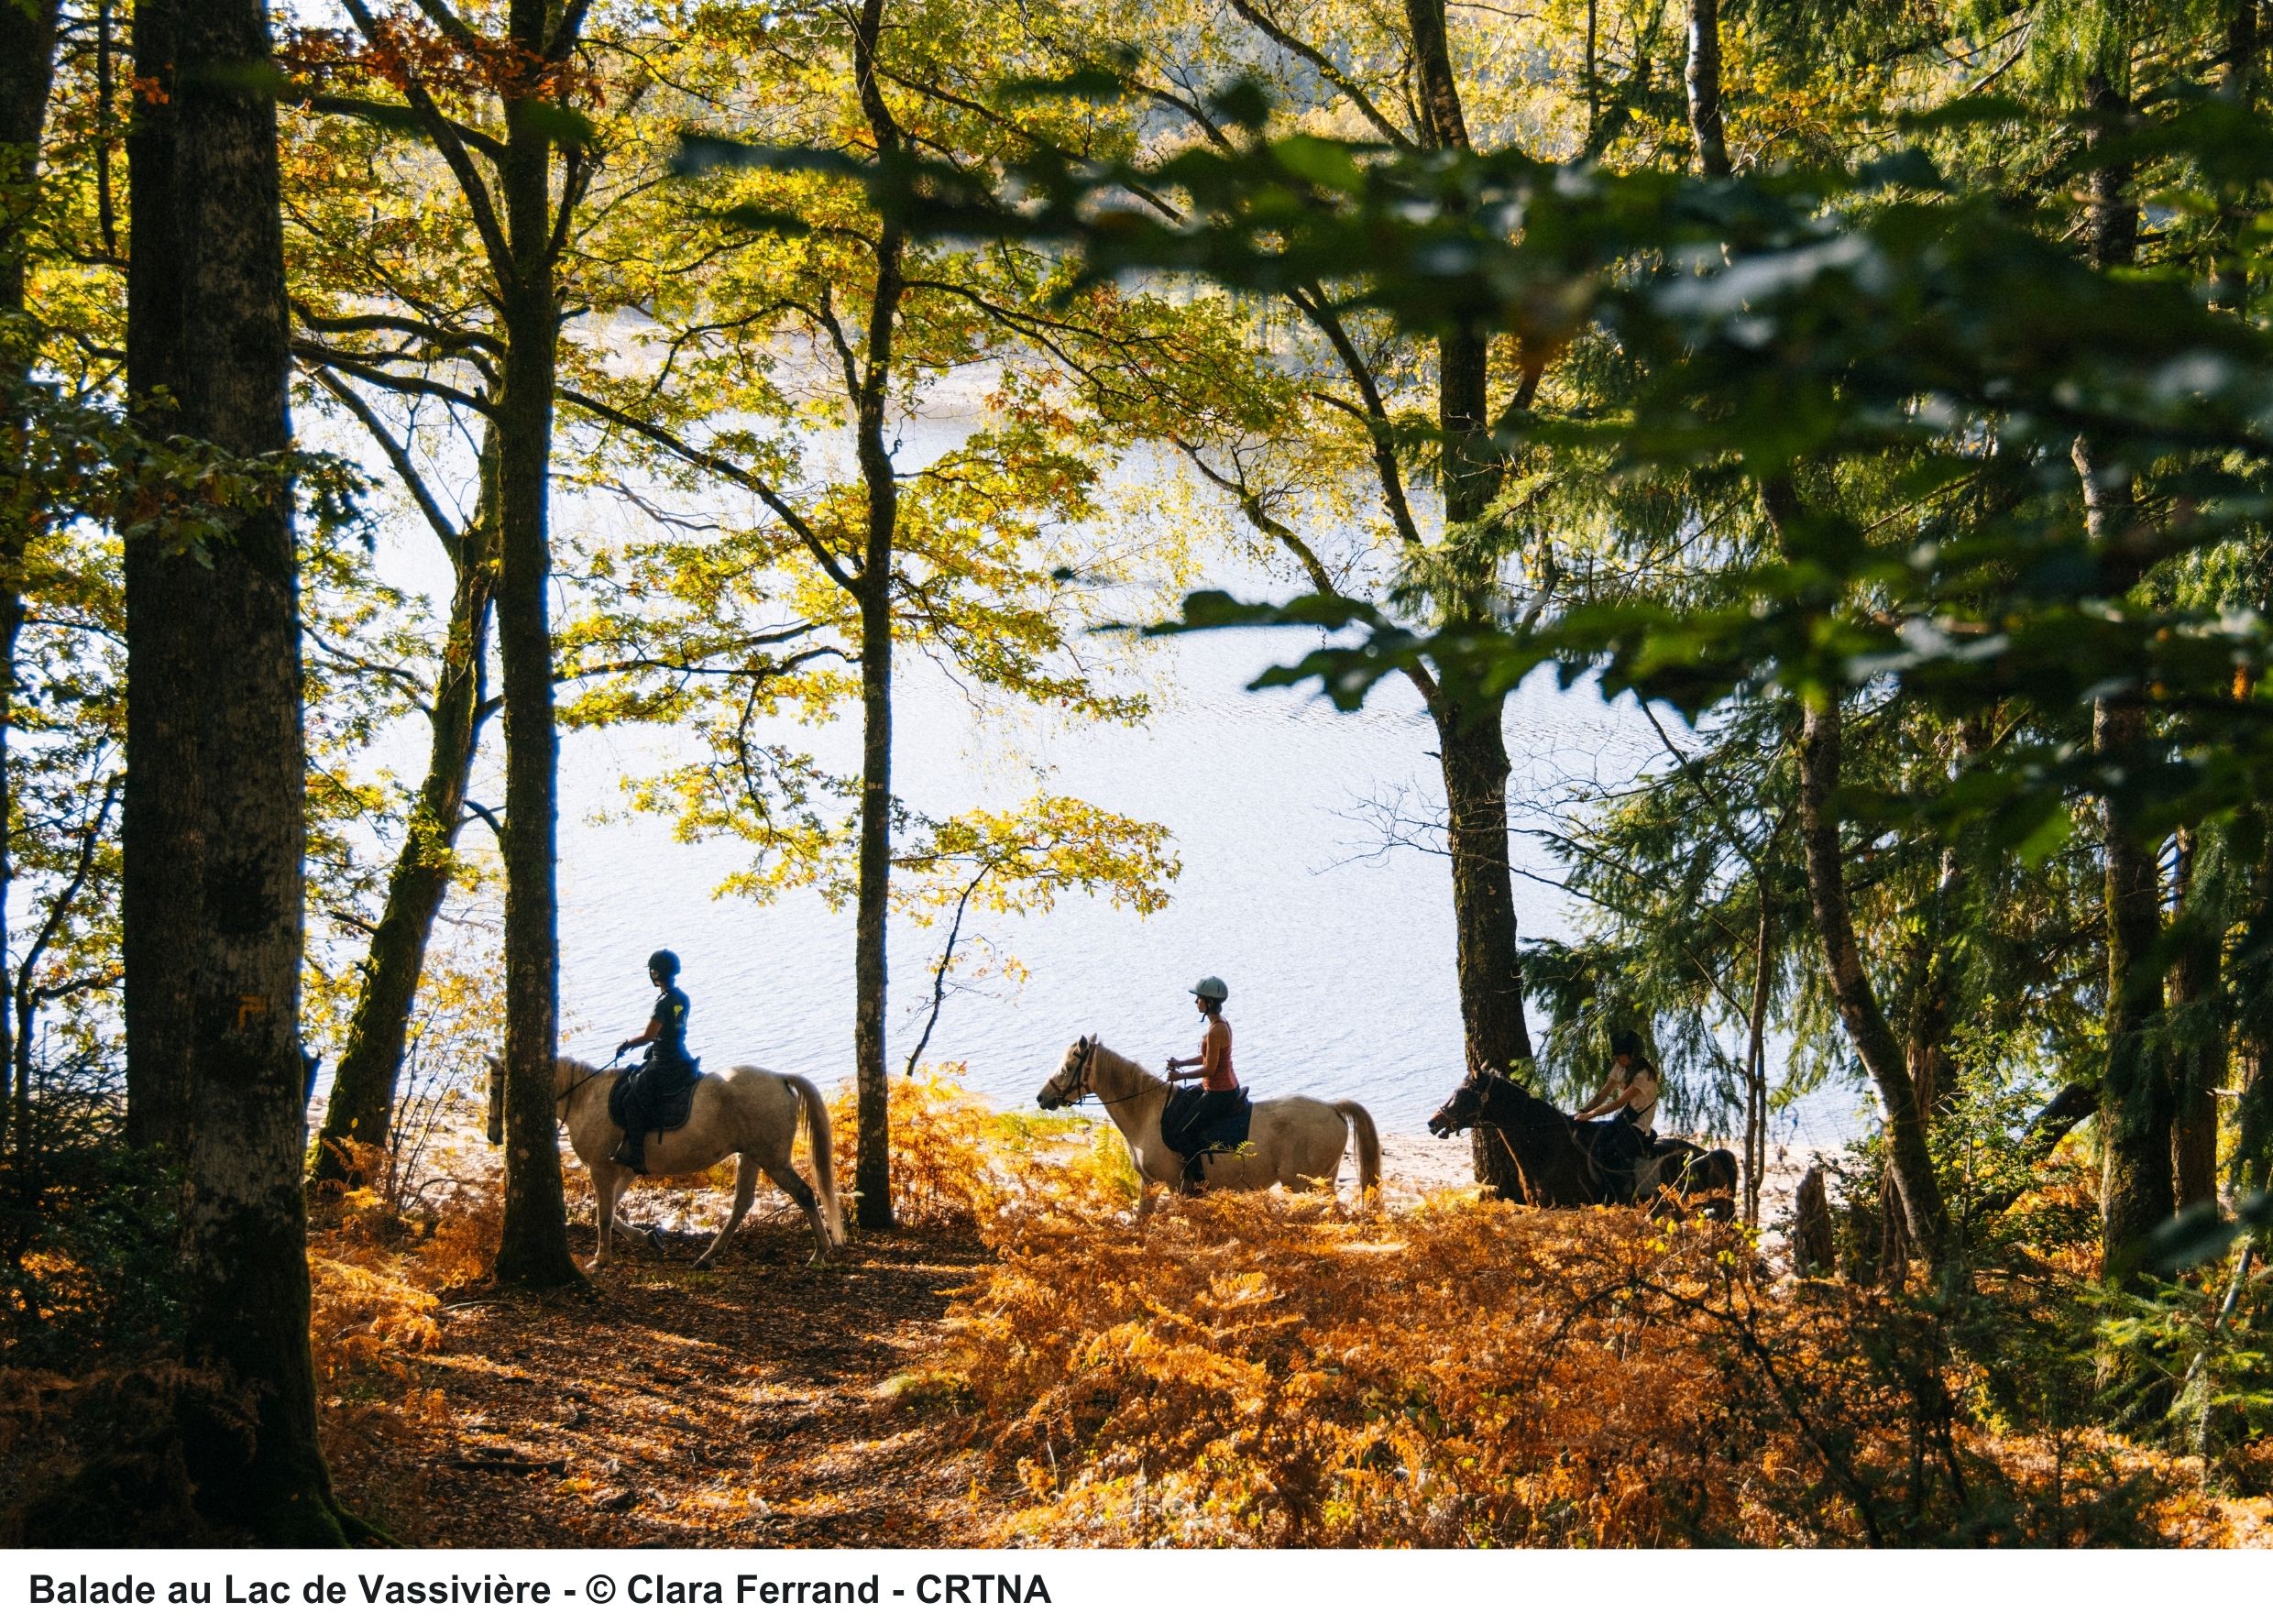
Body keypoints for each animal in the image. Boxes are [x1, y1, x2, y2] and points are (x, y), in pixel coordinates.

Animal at [486, 1062, 845, 1280]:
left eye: (491, 1089)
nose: (493, 1136)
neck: (585, 1097)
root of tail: (780, 1078)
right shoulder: (624, 1169)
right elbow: (609, 1211)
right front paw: (647, 1237)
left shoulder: (603, 1168)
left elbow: (603, 1215)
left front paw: (601, 1259)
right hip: (752, 1156)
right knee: (743, 1204)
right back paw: (707, 1258)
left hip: (771, 1158)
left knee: (803, 1194)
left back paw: (820, 1252)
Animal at [1036, 1040, 1381, 1217]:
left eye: (1068, 1067)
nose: (1042, 1097)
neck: (1147, 1113)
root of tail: (1332, 1107)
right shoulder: (1150, 1184)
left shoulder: (1176, 1186)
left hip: (1306, 1185)